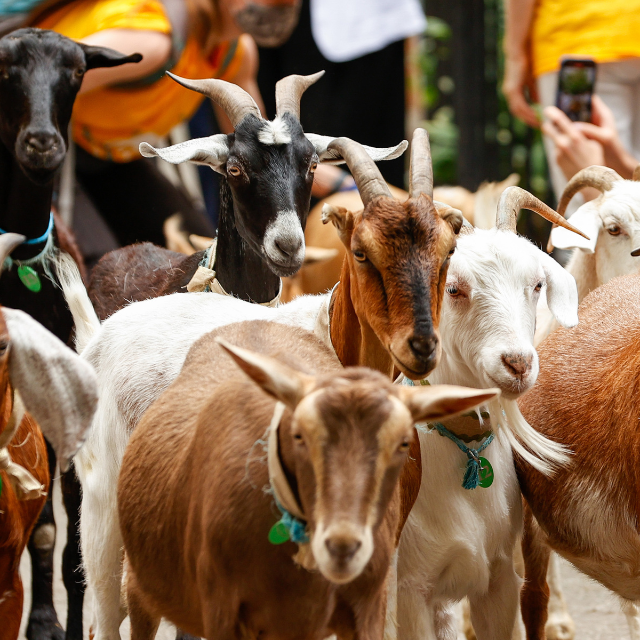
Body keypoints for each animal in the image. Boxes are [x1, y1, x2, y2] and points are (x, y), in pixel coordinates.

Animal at [117, 318, 499, 640]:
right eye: (298, 435)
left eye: (404, 442)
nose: (343, 546)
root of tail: (254, 321)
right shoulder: (223, 611)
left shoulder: (367, 606)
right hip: (140, 587)